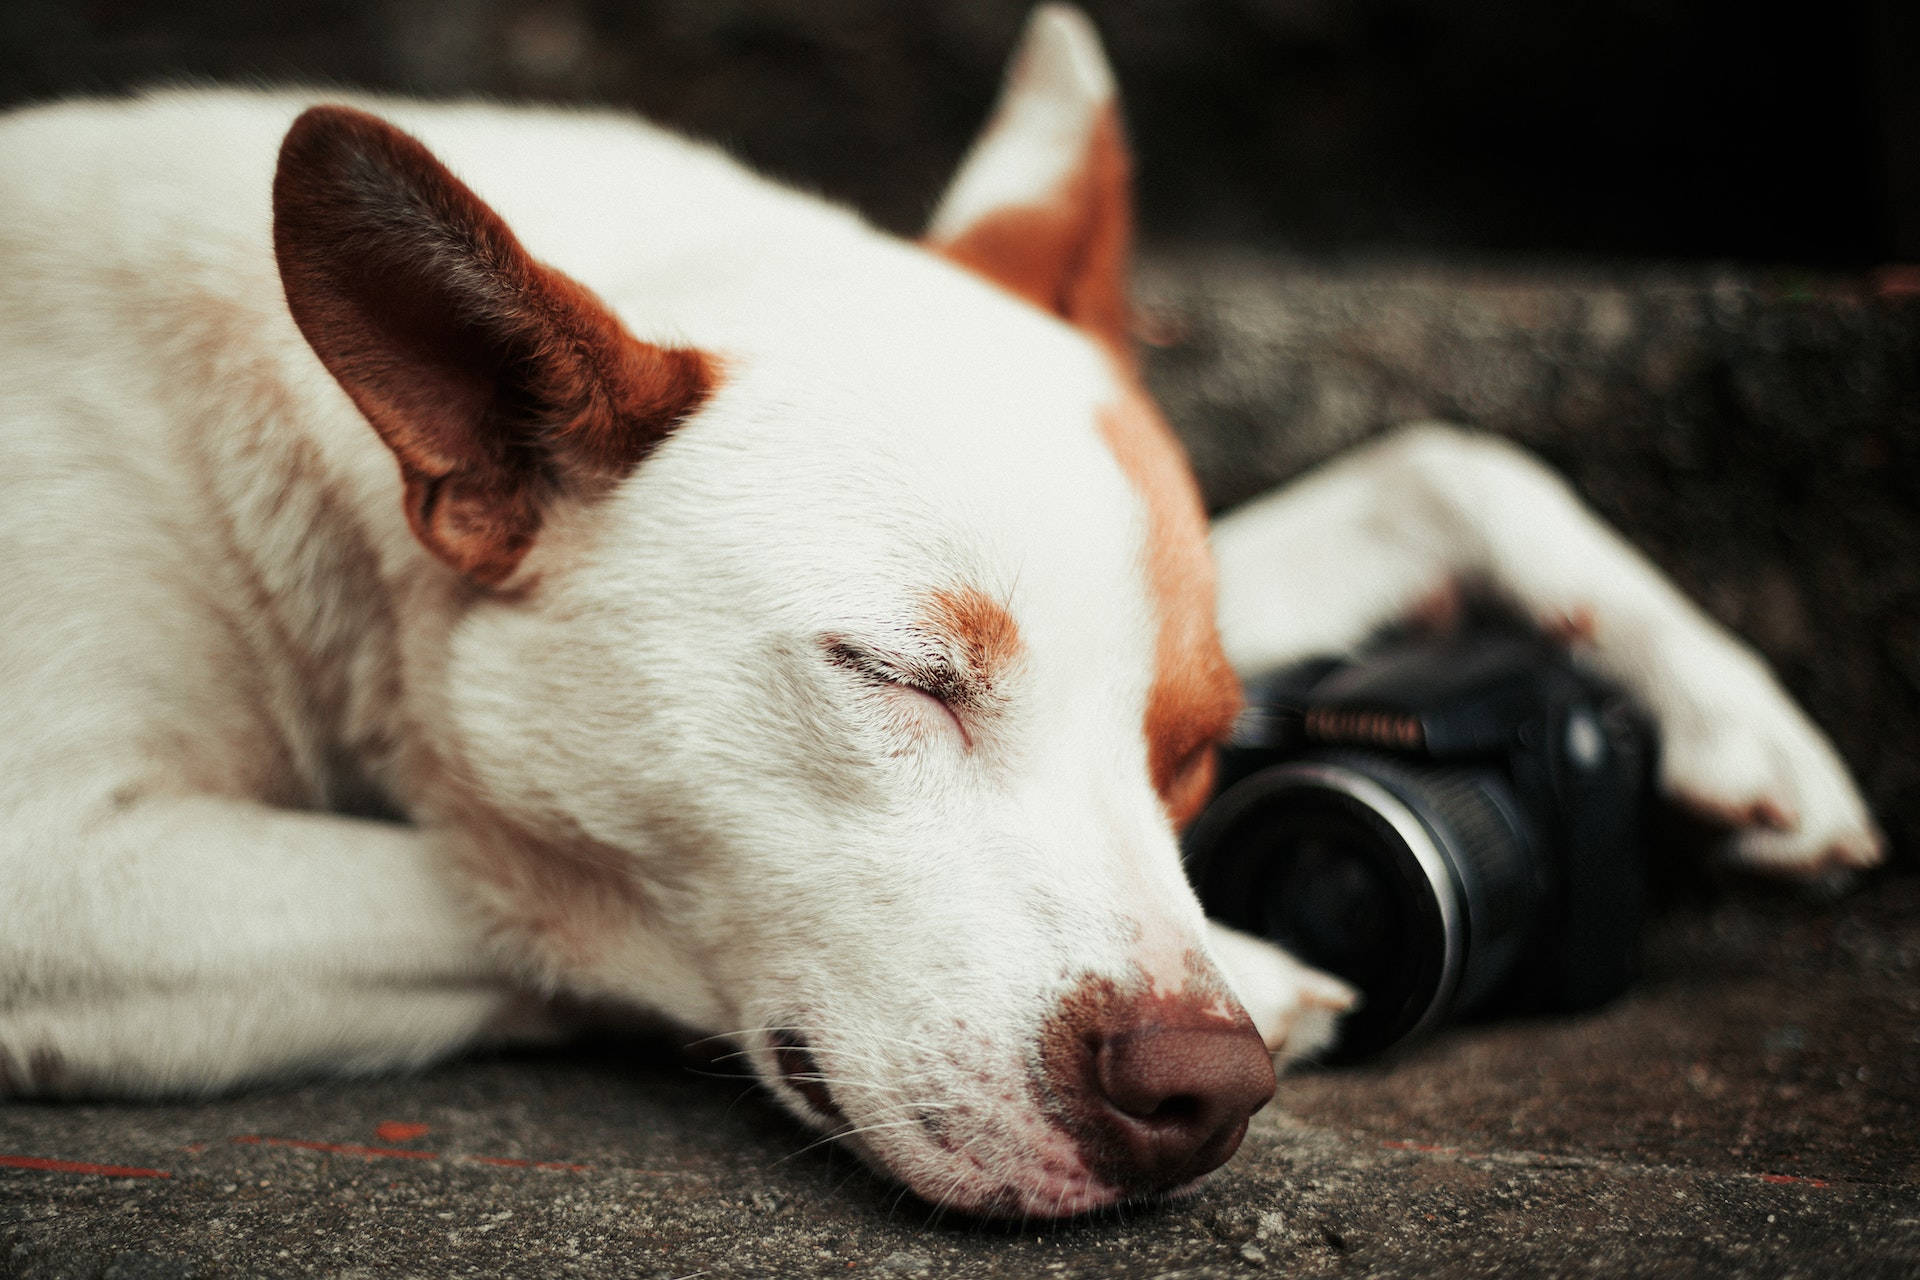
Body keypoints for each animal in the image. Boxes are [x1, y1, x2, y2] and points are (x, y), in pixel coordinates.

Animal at [0, 2, 1881, 1220]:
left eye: (1197, 751)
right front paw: (1280, 968)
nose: (1202, 1091)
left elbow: (1440, 453)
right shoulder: (59, 880)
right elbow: (520, 886)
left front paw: (1743, 723)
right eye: (899, 676)